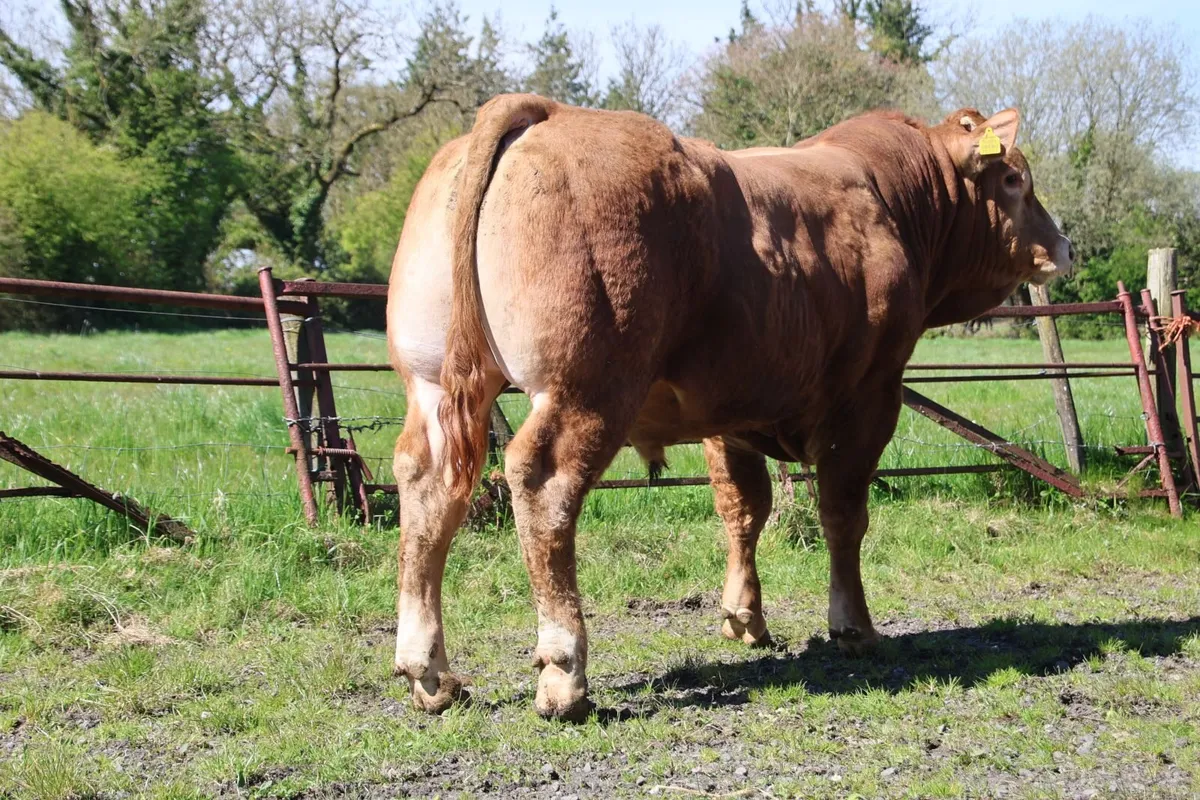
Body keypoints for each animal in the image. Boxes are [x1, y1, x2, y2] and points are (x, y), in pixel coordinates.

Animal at [387, 95, 1074, 720]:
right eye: (1014, 179)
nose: (1064, 245)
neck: (895, 201)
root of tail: (546, 112)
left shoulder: (732, 411)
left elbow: (744, 510)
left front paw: (746, 616)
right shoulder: (870, 395)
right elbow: (843, 514)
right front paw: (853, 626)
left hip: (433, 383)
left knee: (427, 486)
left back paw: (430, 672)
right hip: (589, 389)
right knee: (543, 485)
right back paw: (565, 675)